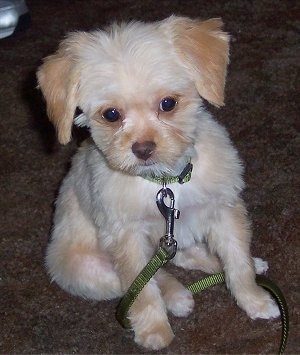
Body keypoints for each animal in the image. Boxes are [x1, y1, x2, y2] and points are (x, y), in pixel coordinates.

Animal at [37, 16, 278, 350]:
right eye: (111, 114)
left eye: (168, 104)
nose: (142, 149)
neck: (165, 182)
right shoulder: (127, 239)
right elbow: (143, 292)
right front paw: (154, 331)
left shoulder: (223, 210)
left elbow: (238, 263)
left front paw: (254, 299)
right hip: (90, 272)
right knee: (149, 279)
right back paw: (177, 297)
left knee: (183, 255)